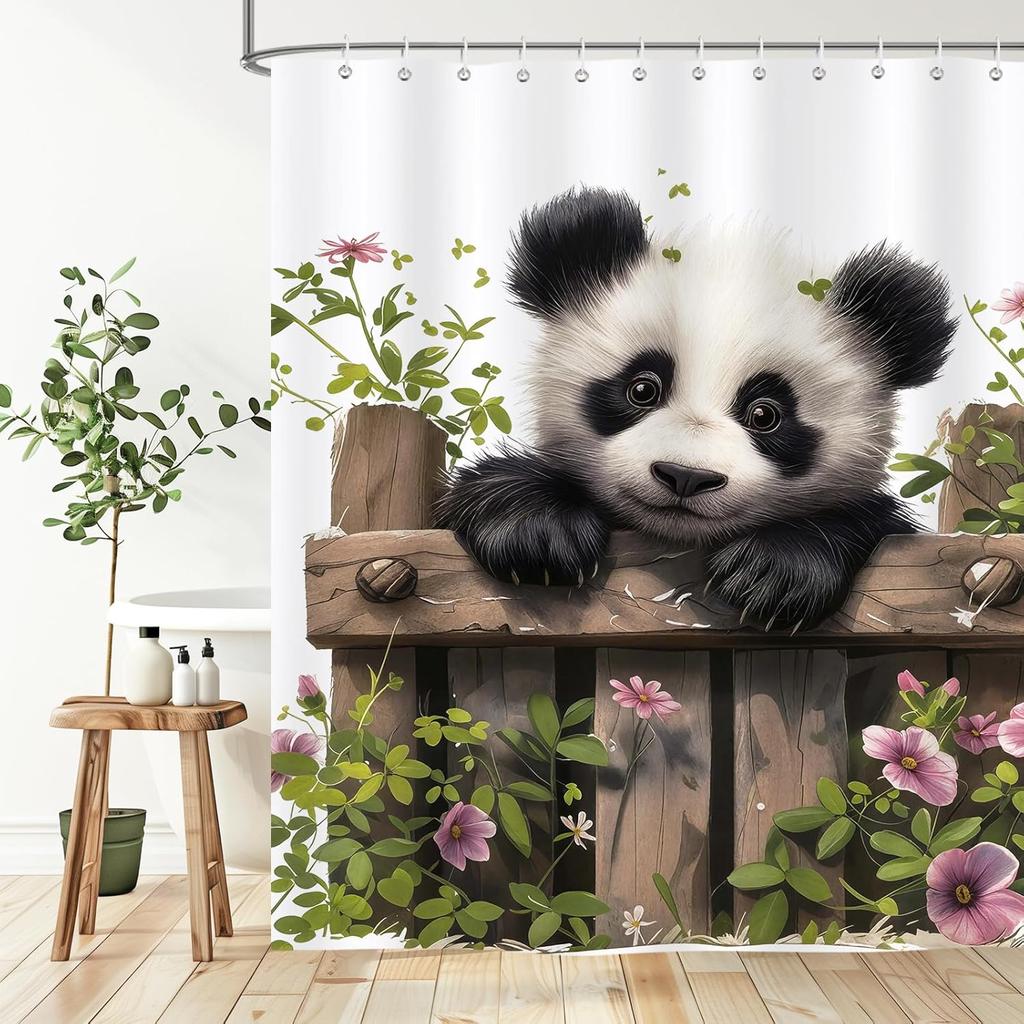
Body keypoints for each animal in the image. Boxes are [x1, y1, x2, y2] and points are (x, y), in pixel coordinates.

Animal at [436, 186, 957, 628]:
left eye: (765, 414)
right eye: (642, 389)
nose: (685, 476)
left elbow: (869, 524)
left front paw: (772, 572)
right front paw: (538, 532)